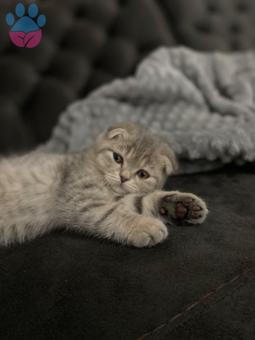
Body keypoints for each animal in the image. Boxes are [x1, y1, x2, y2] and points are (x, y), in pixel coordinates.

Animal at [0, 122, 208, 247]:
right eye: (117, 158)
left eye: (142, 174)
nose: (123, 177)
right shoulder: (80, 199)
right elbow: (111, 213)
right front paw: (145, 225)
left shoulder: (117, 197)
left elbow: (140, 201)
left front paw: (181, 207)